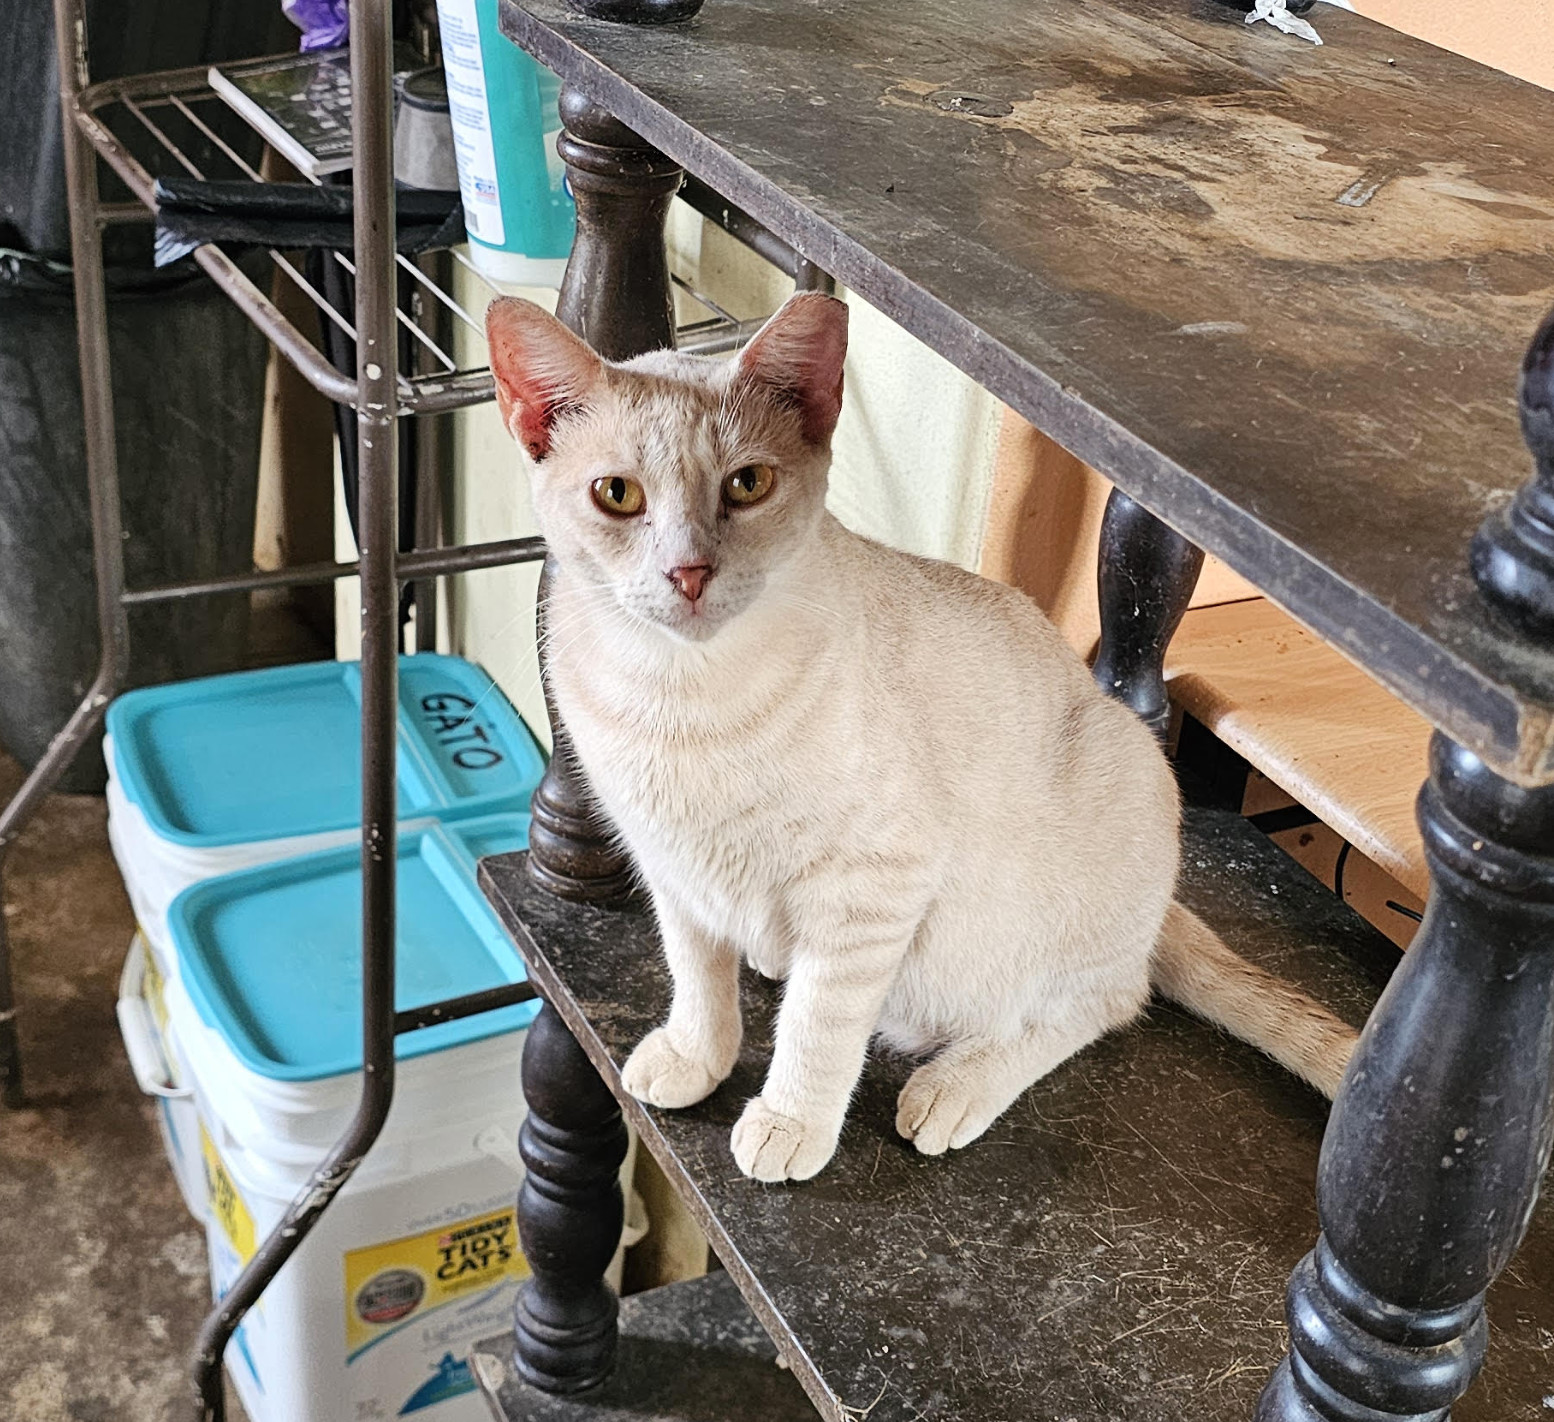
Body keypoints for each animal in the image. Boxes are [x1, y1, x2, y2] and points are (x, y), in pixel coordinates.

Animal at [487, 285, 1361, 1181]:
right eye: (617, 495)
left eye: (748, 484)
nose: (688, 572)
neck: (678, 693)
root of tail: (1164, 908)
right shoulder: (674, 870)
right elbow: (697, 979)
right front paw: (699, 1057)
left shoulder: (872, 885)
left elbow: (819, 1026)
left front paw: (790, 1121)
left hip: (1102, 821)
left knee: (1105, 1002)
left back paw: (953, 1087)